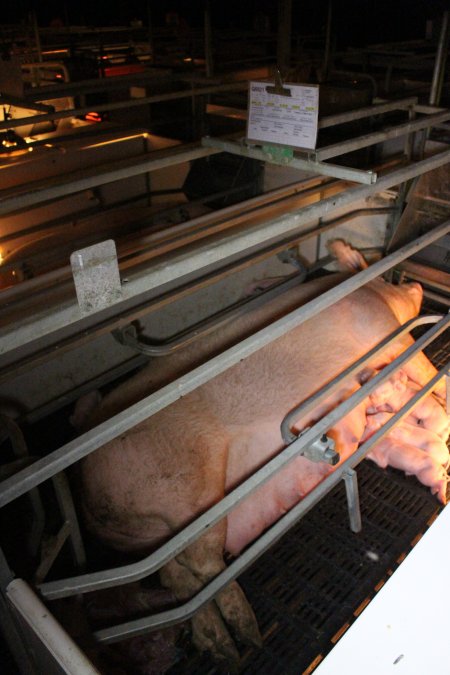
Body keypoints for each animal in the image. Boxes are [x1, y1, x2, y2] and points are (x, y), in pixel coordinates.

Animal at [74, 243, 446, 664]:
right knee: (204, 565)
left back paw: (220, 646)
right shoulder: (390, 334)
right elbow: (430, 371)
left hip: (157, 531)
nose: (415, 283)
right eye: (386, 277)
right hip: (189, 490)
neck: (364, 292)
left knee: (175, 576)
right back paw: (246, 638)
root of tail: (86, 495)